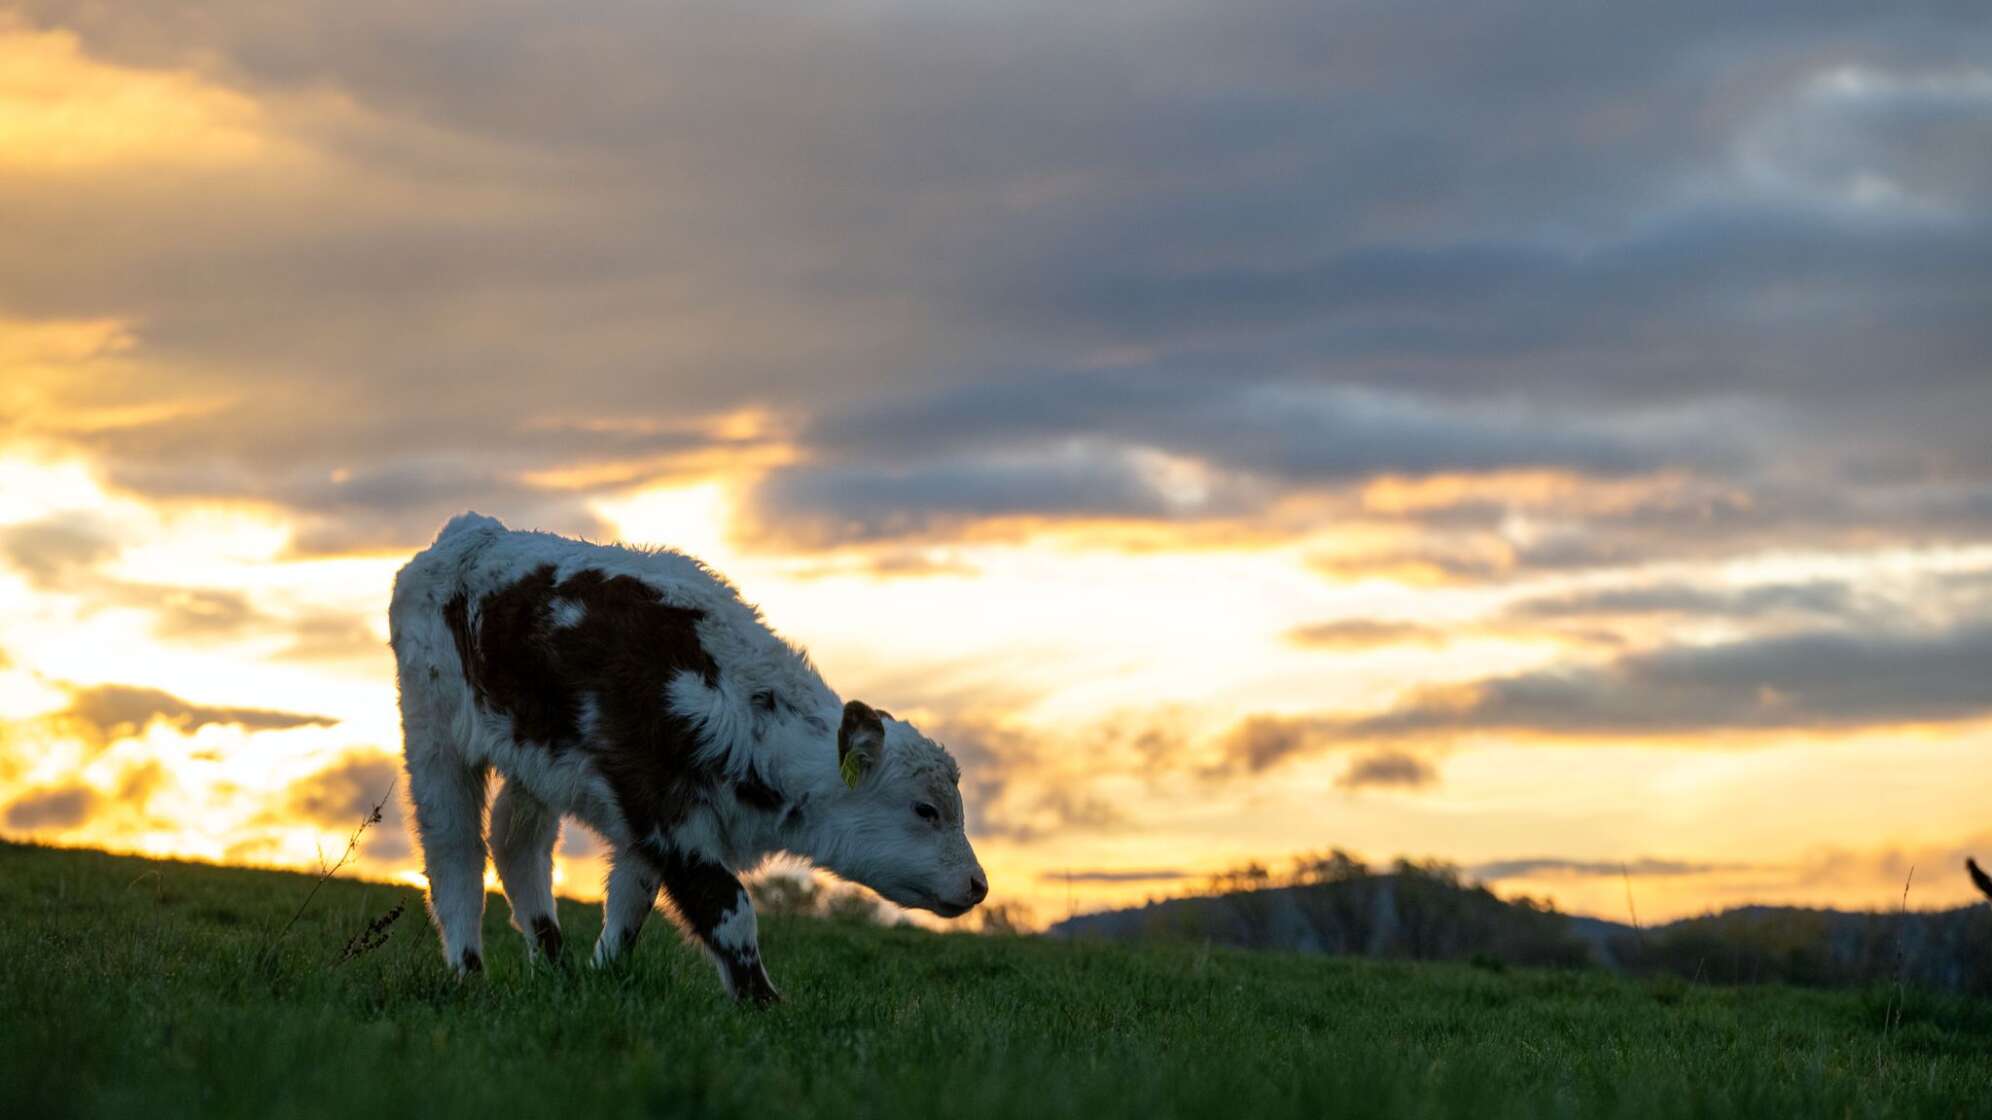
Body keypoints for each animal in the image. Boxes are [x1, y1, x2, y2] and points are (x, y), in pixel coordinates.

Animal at [386, 510, 988, 996]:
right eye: (925, 809)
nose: (978, 885)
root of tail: (469, 531)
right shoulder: (665, 813)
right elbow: (730, 910)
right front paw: (764, 1005)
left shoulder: (645, 825)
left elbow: (630, 903)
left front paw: (603, 979)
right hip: (431, 728)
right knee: (454, 851)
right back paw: (469, 972)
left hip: (531, 758)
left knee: (517, 842)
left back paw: (554, 966)